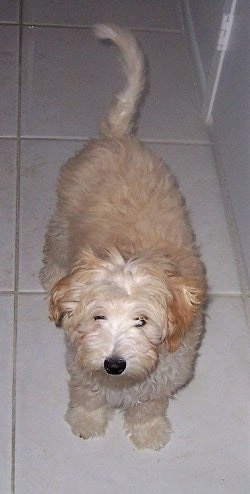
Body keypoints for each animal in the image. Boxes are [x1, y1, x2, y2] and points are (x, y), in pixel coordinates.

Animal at [40, 24, 205, 452]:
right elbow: (86, 390)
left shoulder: (167, 370)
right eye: (98, 316)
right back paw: (51, 278)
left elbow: (150, 404)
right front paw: (86, 421)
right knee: (54, 247)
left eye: (142, 321)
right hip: (63, 217)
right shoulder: (81, 357)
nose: (114, 364)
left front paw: (149, 432)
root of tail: (117, 136)